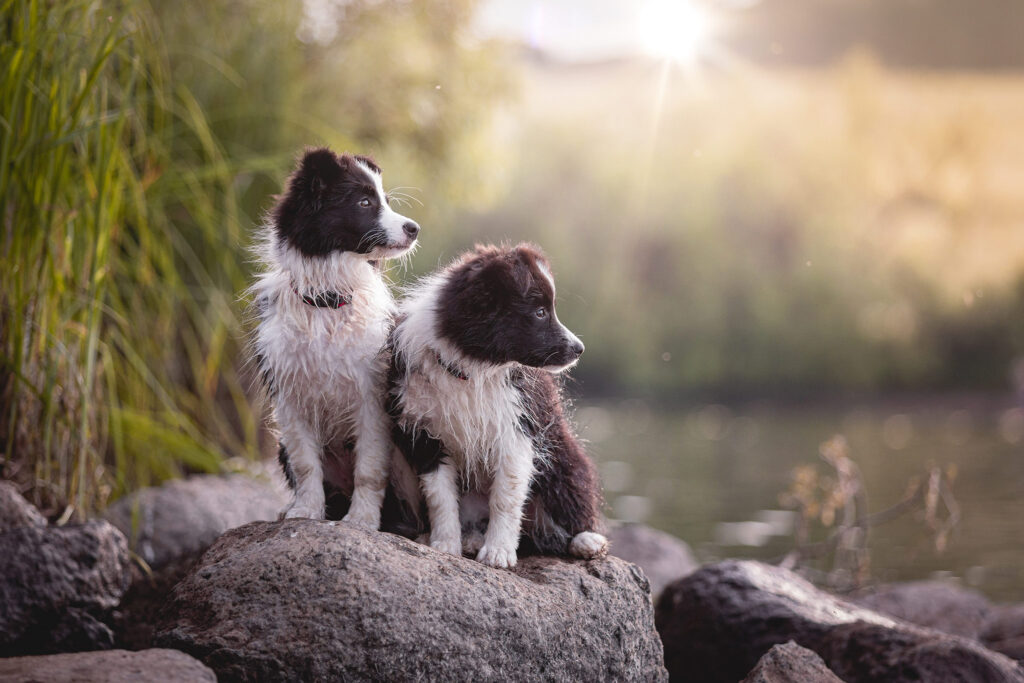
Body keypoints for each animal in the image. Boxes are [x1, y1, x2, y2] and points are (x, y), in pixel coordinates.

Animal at [385, 242, 606, 569]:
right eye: (540, 312)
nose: (579, 349)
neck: (472, 368)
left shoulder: (518, 428)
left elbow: (506, 496)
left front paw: (499, 551)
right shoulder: (422, 432)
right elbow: (440, 496)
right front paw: (445, 544)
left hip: (562, 454)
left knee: (574, 490)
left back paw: (586, 539)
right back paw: (467, 538)